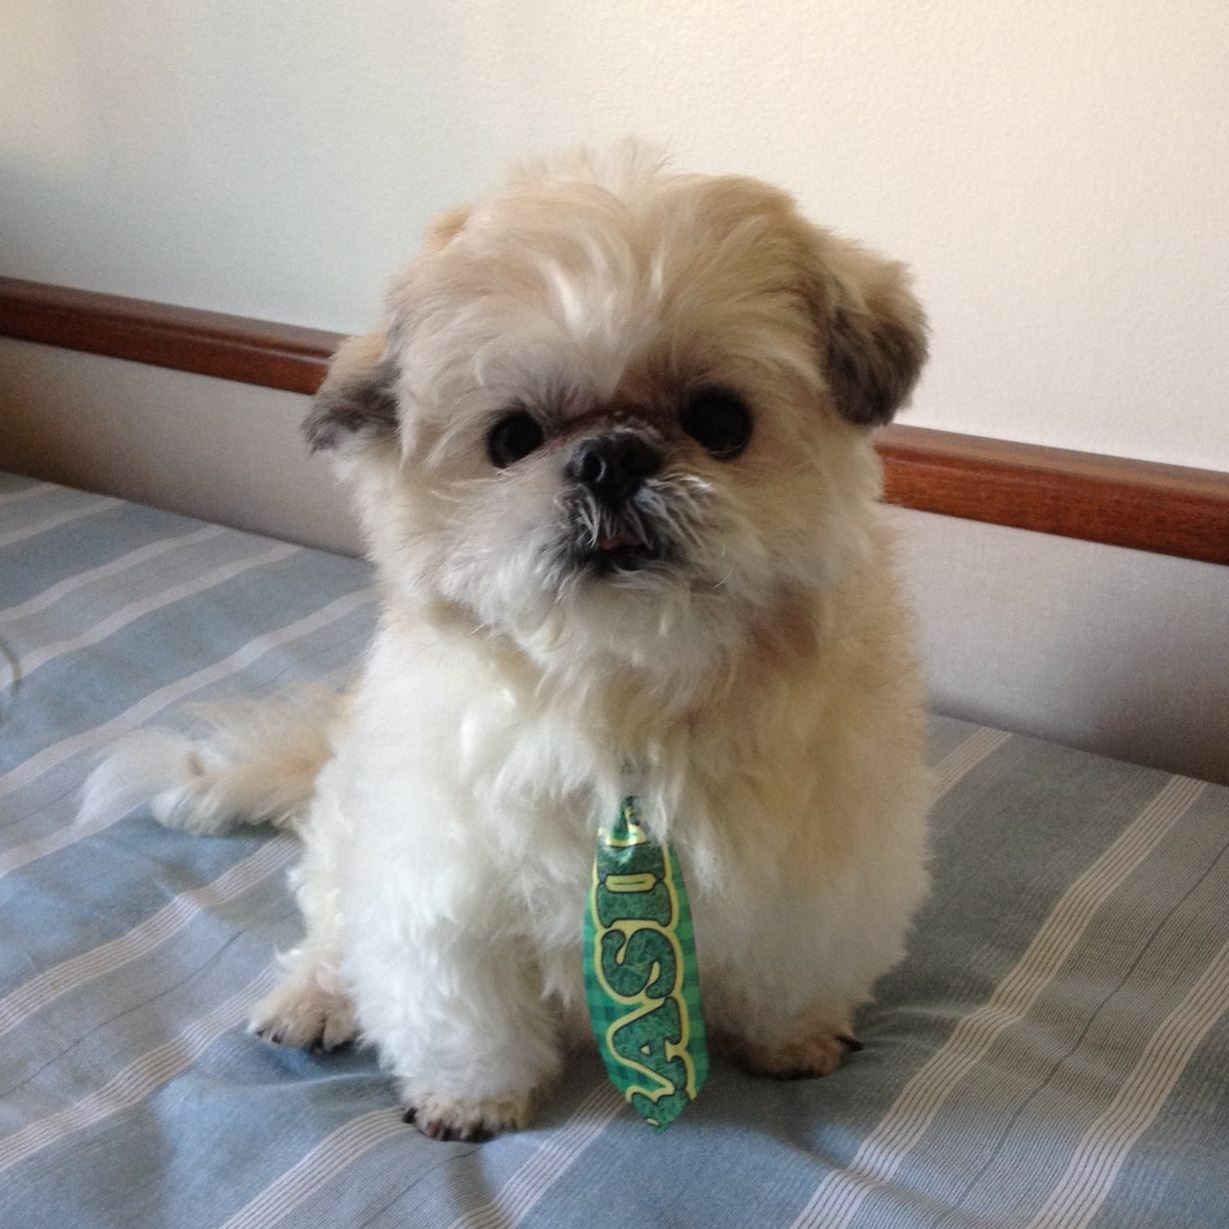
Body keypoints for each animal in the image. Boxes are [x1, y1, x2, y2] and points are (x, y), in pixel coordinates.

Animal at [86, 143, 932, 1141]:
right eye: (513, 438)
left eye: (721, 421)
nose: (610, 456)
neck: (627, 696)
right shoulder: (440, 891)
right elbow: (463, 1010)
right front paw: (472, 1098)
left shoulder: (822, 873)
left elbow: (791, 970)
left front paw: (789, 1039)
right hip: (348, 836)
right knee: (329, 926)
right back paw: (316, 997)